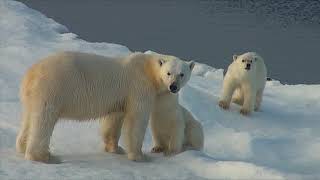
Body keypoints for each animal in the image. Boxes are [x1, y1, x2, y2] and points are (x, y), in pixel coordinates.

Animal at [16, 51, 192, 162]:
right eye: (169, 73)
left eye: (182, 74)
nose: (173, 87)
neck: (148, 69)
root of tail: (31, 74)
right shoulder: (139, 87)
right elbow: (136, 120)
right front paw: (138, 156)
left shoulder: (119, 99)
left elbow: (114, 119)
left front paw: (115, 148)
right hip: (53, 89)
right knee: (44, 121)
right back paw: (43, 157)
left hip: (33, 97)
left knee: (29, 119)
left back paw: (22, 146)